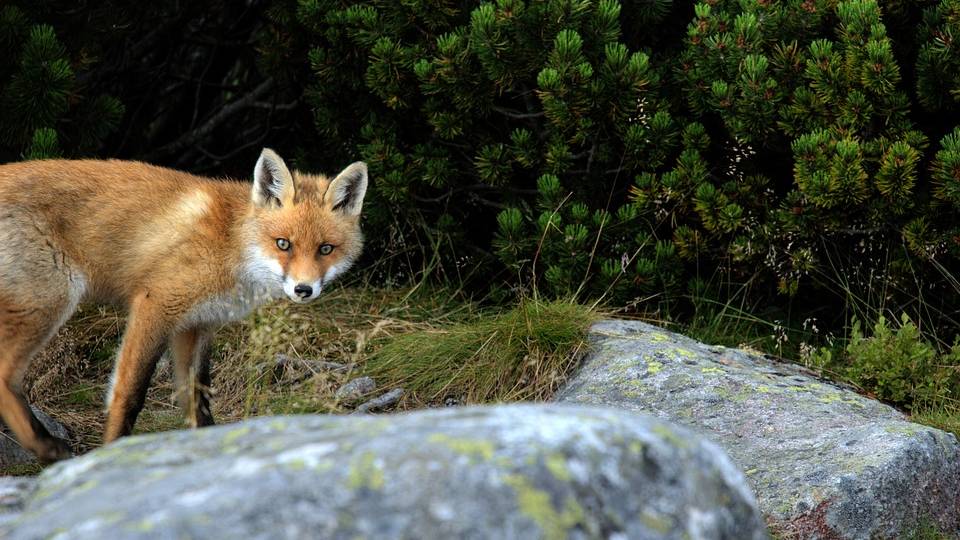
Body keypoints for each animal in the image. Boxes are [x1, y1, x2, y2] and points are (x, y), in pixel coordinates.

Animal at [0, 150, 366, 462]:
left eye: (325, 249)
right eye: (283, 244)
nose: (304, 289)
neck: (231, 243)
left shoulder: (196, 326)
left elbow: (198, 402)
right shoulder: (156, 304)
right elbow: (129, 394)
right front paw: (113, 451)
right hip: (49, 300)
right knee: (5, 375)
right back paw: (46, 447)